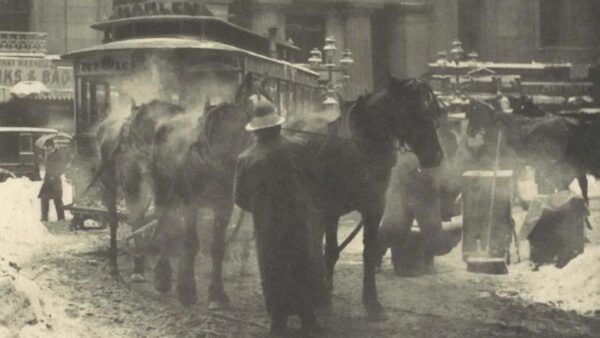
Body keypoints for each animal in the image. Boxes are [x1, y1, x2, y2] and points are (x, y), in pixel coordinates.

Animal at [97, 100, 185, 278]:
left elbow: (161, 215)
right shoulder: (132, 178)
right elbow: (137, 215)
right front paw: (138, 269)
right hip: (107, 176)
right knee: (114, 217)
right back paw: (114, 264)